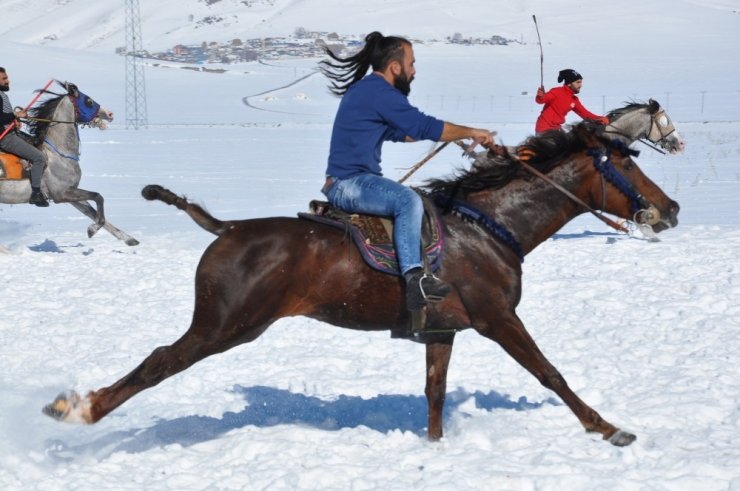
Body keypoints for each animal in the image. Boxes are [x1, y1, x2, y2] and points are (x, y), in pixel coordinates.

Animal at [0, 82, 139, 248]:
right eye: (88, 101)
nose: (110, 114)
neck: (59, 154)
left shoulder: (71, 191)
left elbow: (94, 212)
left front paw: (129, 239)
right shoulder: (61, 193)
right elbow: (98, 197)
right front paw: (92, 230)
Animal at [39, 123, 676, 446]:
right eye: (627, 164)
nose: (669, 208)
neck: (491, 227)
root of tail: (228, 228)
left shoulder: (442, 330)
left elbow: (435, 392)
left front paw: (435, 448)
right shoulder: (498, 318)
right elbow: (550, 373)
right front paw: (608, 428)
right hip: (225, 325)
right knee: (157, 362)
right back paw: (80, 410)